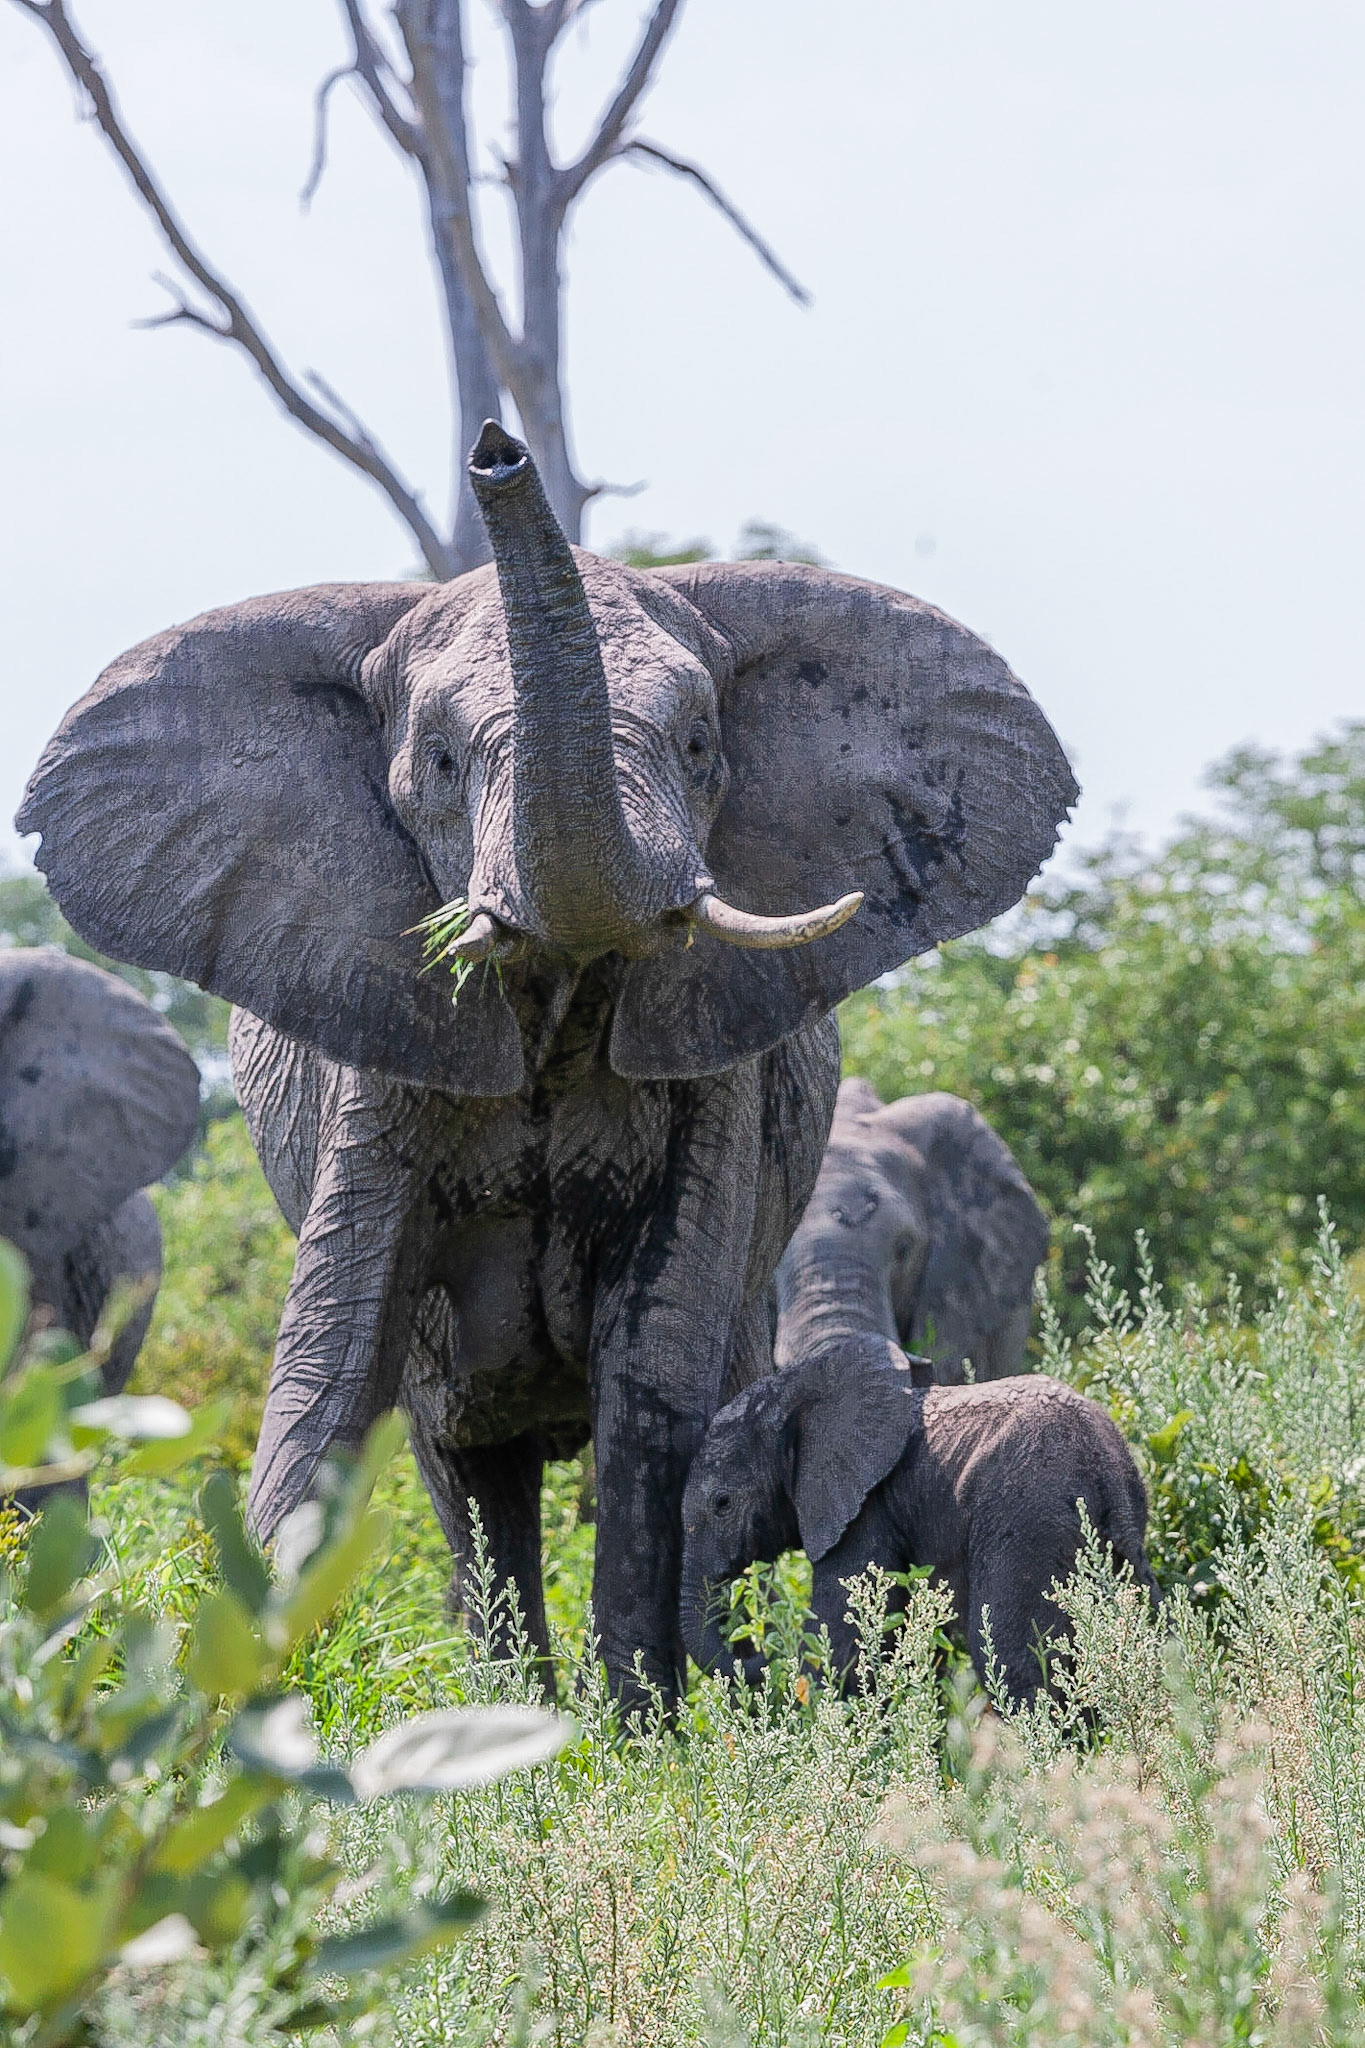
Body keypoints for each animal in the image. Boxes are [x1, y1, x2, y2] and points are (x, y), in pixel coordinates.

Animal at [679, 1335, 1162, 1703]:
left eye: (722, 1503)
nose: (760, 1656)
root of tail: (1103, 1469)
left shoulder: (866, 1510)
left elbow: (844, 1635)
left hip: (1029, 1518)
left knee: (1010, 1659)